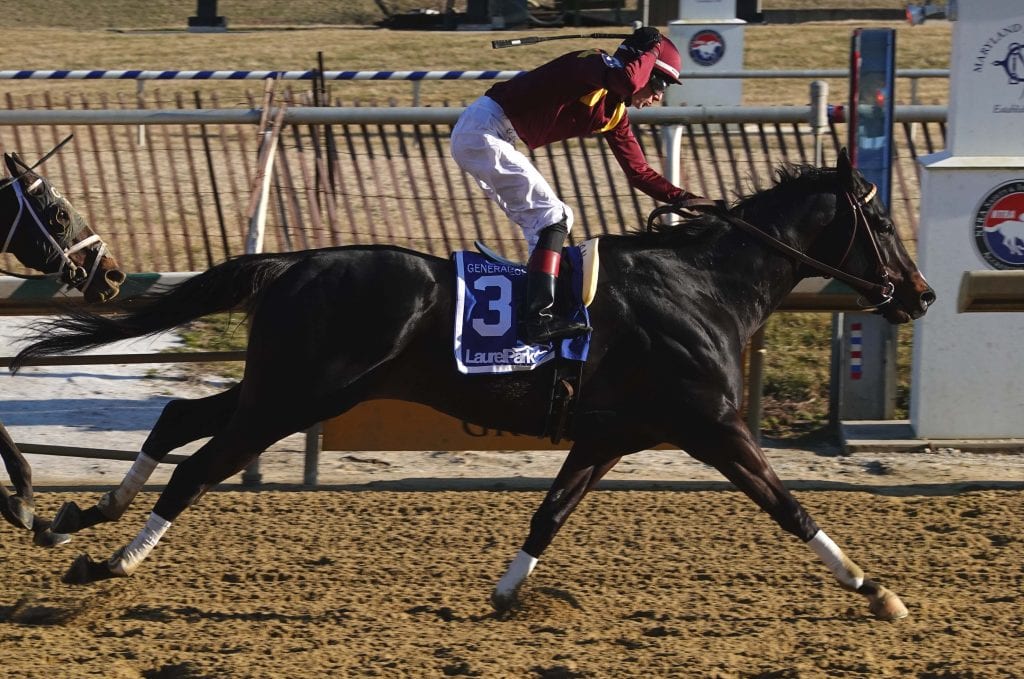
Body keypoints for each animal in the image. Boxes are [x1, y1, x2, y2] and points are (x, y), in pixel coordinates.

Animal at [16, 152, 933, 622]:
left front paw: (506, 593)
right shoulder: (713, 425)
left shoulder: (608, 433)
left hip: (286, 389)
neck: (704, 284)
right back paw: (111, 561)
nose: (921, 294)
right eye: (884, 221)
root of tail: (291, 262)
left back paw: (78, 517)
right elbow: (789, 504)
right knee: (200, 465)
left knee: (177, 417)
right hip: (297, 396)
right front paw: (875, 588)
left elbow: (550, 511)